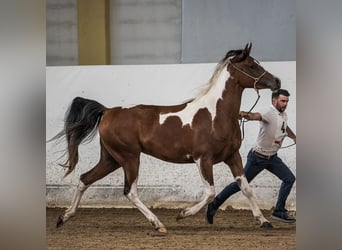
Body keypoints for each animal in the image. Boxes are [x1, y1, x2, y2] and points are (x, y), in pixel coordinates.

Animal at [51, 42, 280, 232]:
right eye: (251, 65)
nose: (276, 81)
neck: (216, 113)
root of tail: (107, 111)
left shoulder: (232, 156)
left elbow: (246, 188)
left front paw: (264, 221)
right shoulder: (203, 159)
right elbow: (210, 192)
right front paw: (182, 214)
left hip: (111, 159)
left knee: (84, 179)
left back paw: (64, 217)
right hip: (129, 158)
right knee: (130, 191)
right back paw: (158, 224)